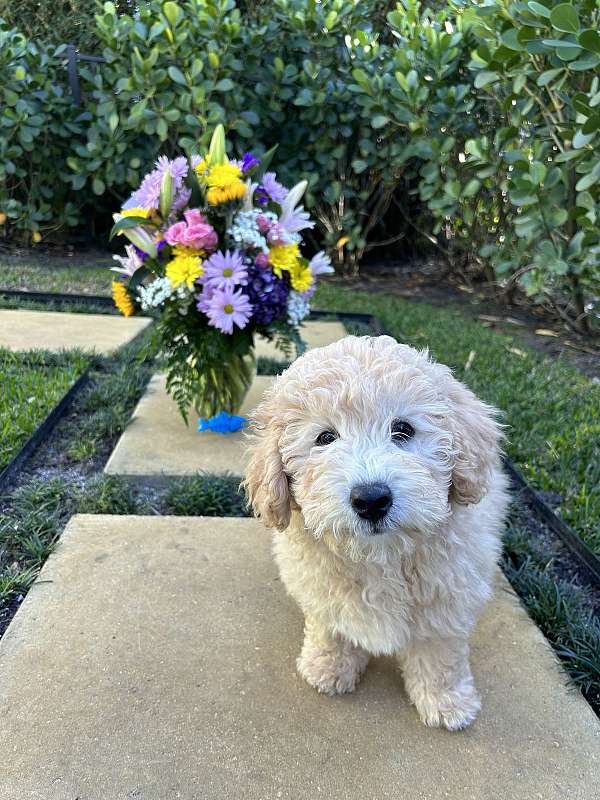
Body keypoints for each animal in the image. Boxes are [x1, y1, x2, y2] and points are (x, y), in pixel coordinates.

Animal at [246, 334, 508, 728]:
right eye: (325, 437)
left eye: (404, 430)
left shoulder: (447, 598)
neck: (380, 555)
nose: (371, 499)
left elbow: (440, 654)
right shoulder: (321, 590)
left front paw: (447, 702)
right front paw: (328, 669)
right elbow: (330, 629)